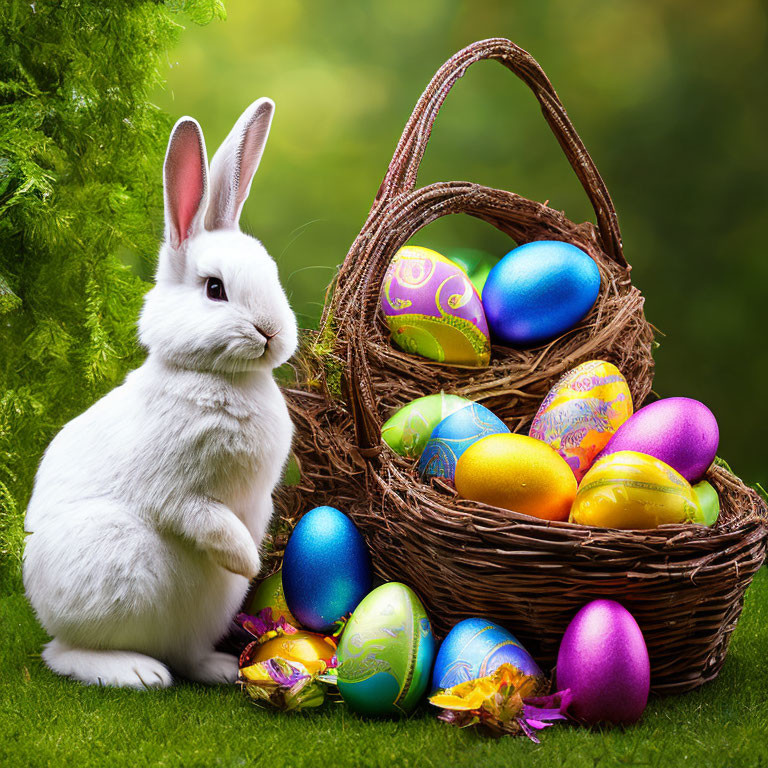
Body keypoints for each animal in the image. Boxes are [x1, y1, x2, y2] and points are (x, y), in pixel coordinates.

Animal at [22, 97, 298, 688]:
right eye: (215, 289)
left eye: (272, 273)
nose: (271, 332)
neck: (221, 378)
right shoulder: (178, 495)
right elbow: (207, 521)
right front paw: (251, 560)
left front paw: (258, 558)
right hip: (111, 571)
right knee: (66, 653)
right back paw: (136, 672)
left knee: (186, 654)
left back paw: (220, 669)